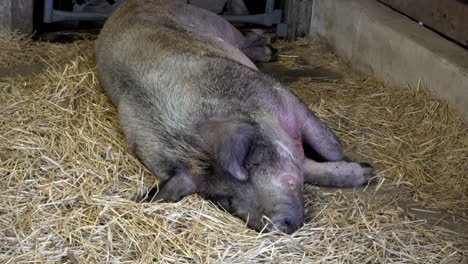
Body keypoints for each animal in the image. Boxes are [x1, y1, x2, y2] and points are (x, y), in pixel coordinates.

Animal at [95, 0, 372, 235]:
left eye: (253, 163)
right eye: (223, 199)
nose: (274, 225)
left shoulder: (282, 96)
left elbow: (329, 146)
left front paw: (366, 169)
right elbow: (307, 169)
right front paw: (366, 172)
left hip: (216, 23)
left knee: (244, 38)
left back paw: (271, 46)